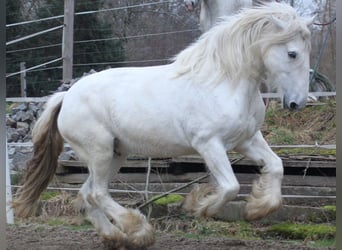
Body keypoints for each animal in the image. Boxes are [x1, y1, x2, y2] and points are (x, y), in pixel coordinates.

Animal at [13, 2, 312, 249]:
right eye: (292, 53)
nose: (297, 102)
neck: (224, 82)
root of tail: (66, 97)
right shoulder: (209, 144)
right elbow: (230, 186)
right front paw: (199, 206)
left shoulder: (246, 140)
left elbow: (276, 166)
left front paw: (256, 210)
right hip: (99, 152)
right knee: (97, 193)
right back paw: (139, 230)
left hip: (115, 154)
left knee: (87, 194)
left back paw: (117, 237)